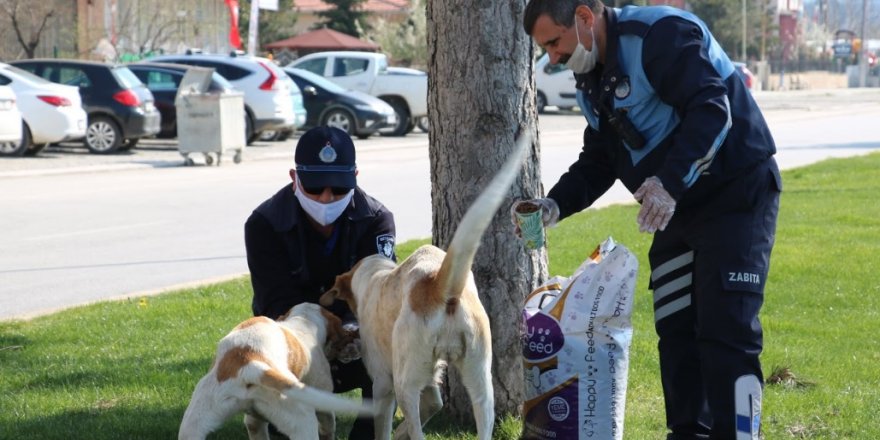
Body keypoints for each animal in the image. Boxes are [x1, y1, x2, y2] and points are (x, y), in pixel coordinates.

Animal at [177, 302, 372, 440]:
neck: (304, 320)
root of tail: (249, 363)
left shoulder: (254, 422)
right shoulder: (323, 402)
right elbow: (328, 426)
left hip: (193, 425)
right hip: (302, 421)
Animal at [322, 134, 528, 440]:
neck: (376, 273)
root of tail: (439, 285)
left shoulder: (383, 386)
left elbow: (384, 427)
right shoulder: (431, 385)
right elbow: (432, 405)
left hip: (405, 386)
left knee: (416, 427)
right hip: (481, 384)